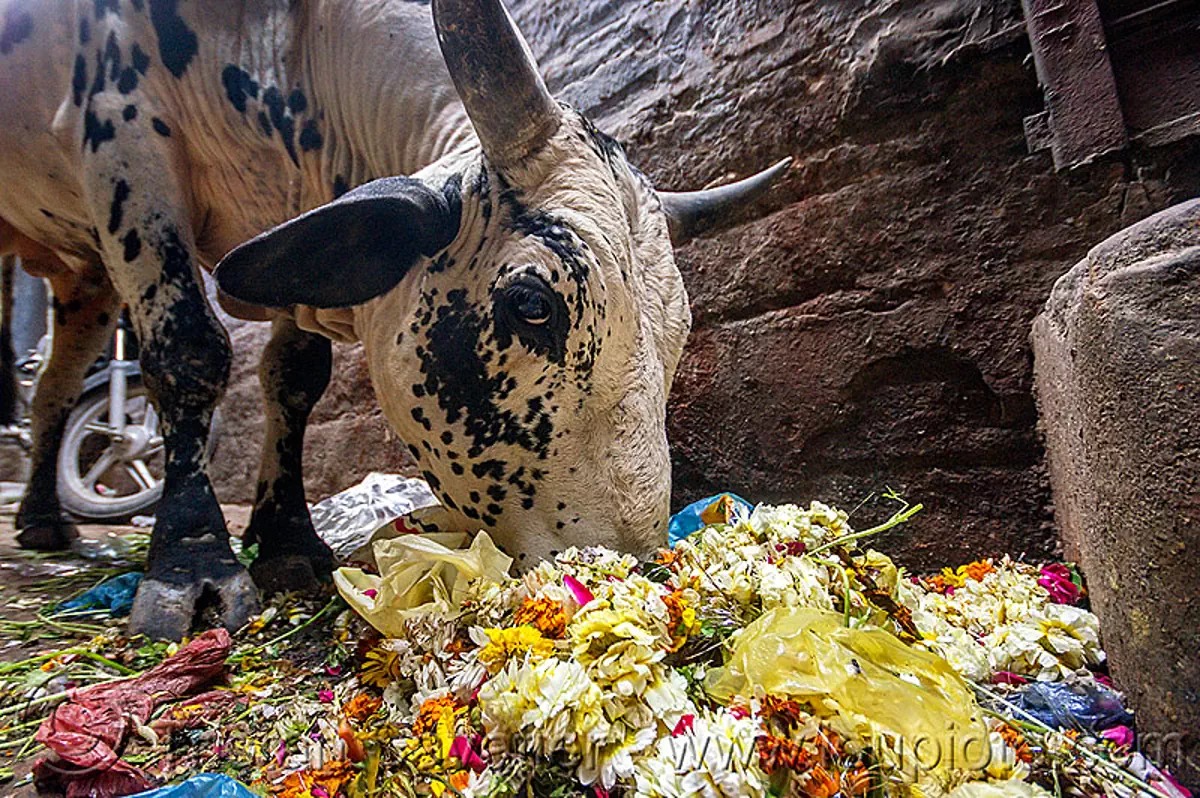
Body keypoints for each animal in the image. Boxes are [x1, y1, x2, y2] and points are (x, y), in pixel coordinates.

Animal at [0, 0, 787, 638]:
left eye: (679, 337)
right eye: (532, 304)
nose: (627, 563)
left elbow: (293, 379)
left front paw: (288, 541)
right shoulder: (122, 132)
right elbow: (191, 350)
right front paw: (194, 565)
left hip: (87, 281)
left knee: (54, 388)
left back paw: (40, 516)